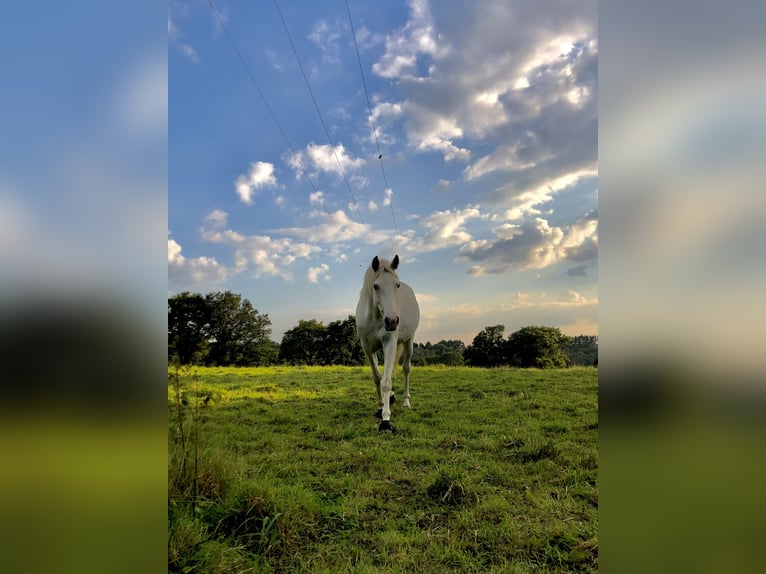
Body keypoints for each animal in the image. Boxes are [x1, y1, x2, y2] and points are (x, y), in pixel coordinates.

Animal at [356, 254, 424, 434]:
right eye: (376, 286)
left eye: (397, 285)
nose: (392, 321)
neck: (375, 318)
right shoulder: (367, 348)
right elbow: (377, 377)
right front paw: (381, 406)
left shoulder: (389, 343)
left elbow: (386, 382)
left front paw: (386, 420)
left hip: (408, 341)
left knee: (406, 369)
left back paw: (406, 401)